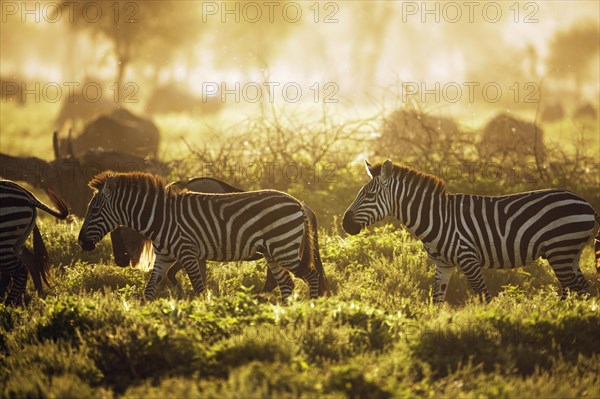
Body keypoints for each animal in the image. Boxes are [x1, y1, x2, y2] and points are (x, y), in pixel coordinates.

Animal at [342, 159, 600, 304]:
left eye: (369, 195)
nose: (345, 224)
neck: (436, 218)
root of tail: (587, 204)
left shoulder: (468, 259)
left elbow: (484, 297)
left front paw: (491, 327)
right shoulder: (443, 265)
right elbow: (437, 300)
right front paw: (437, 329)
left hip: (561, 250)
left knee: (577, 289)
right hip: (570, 254)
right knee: (583, 289)